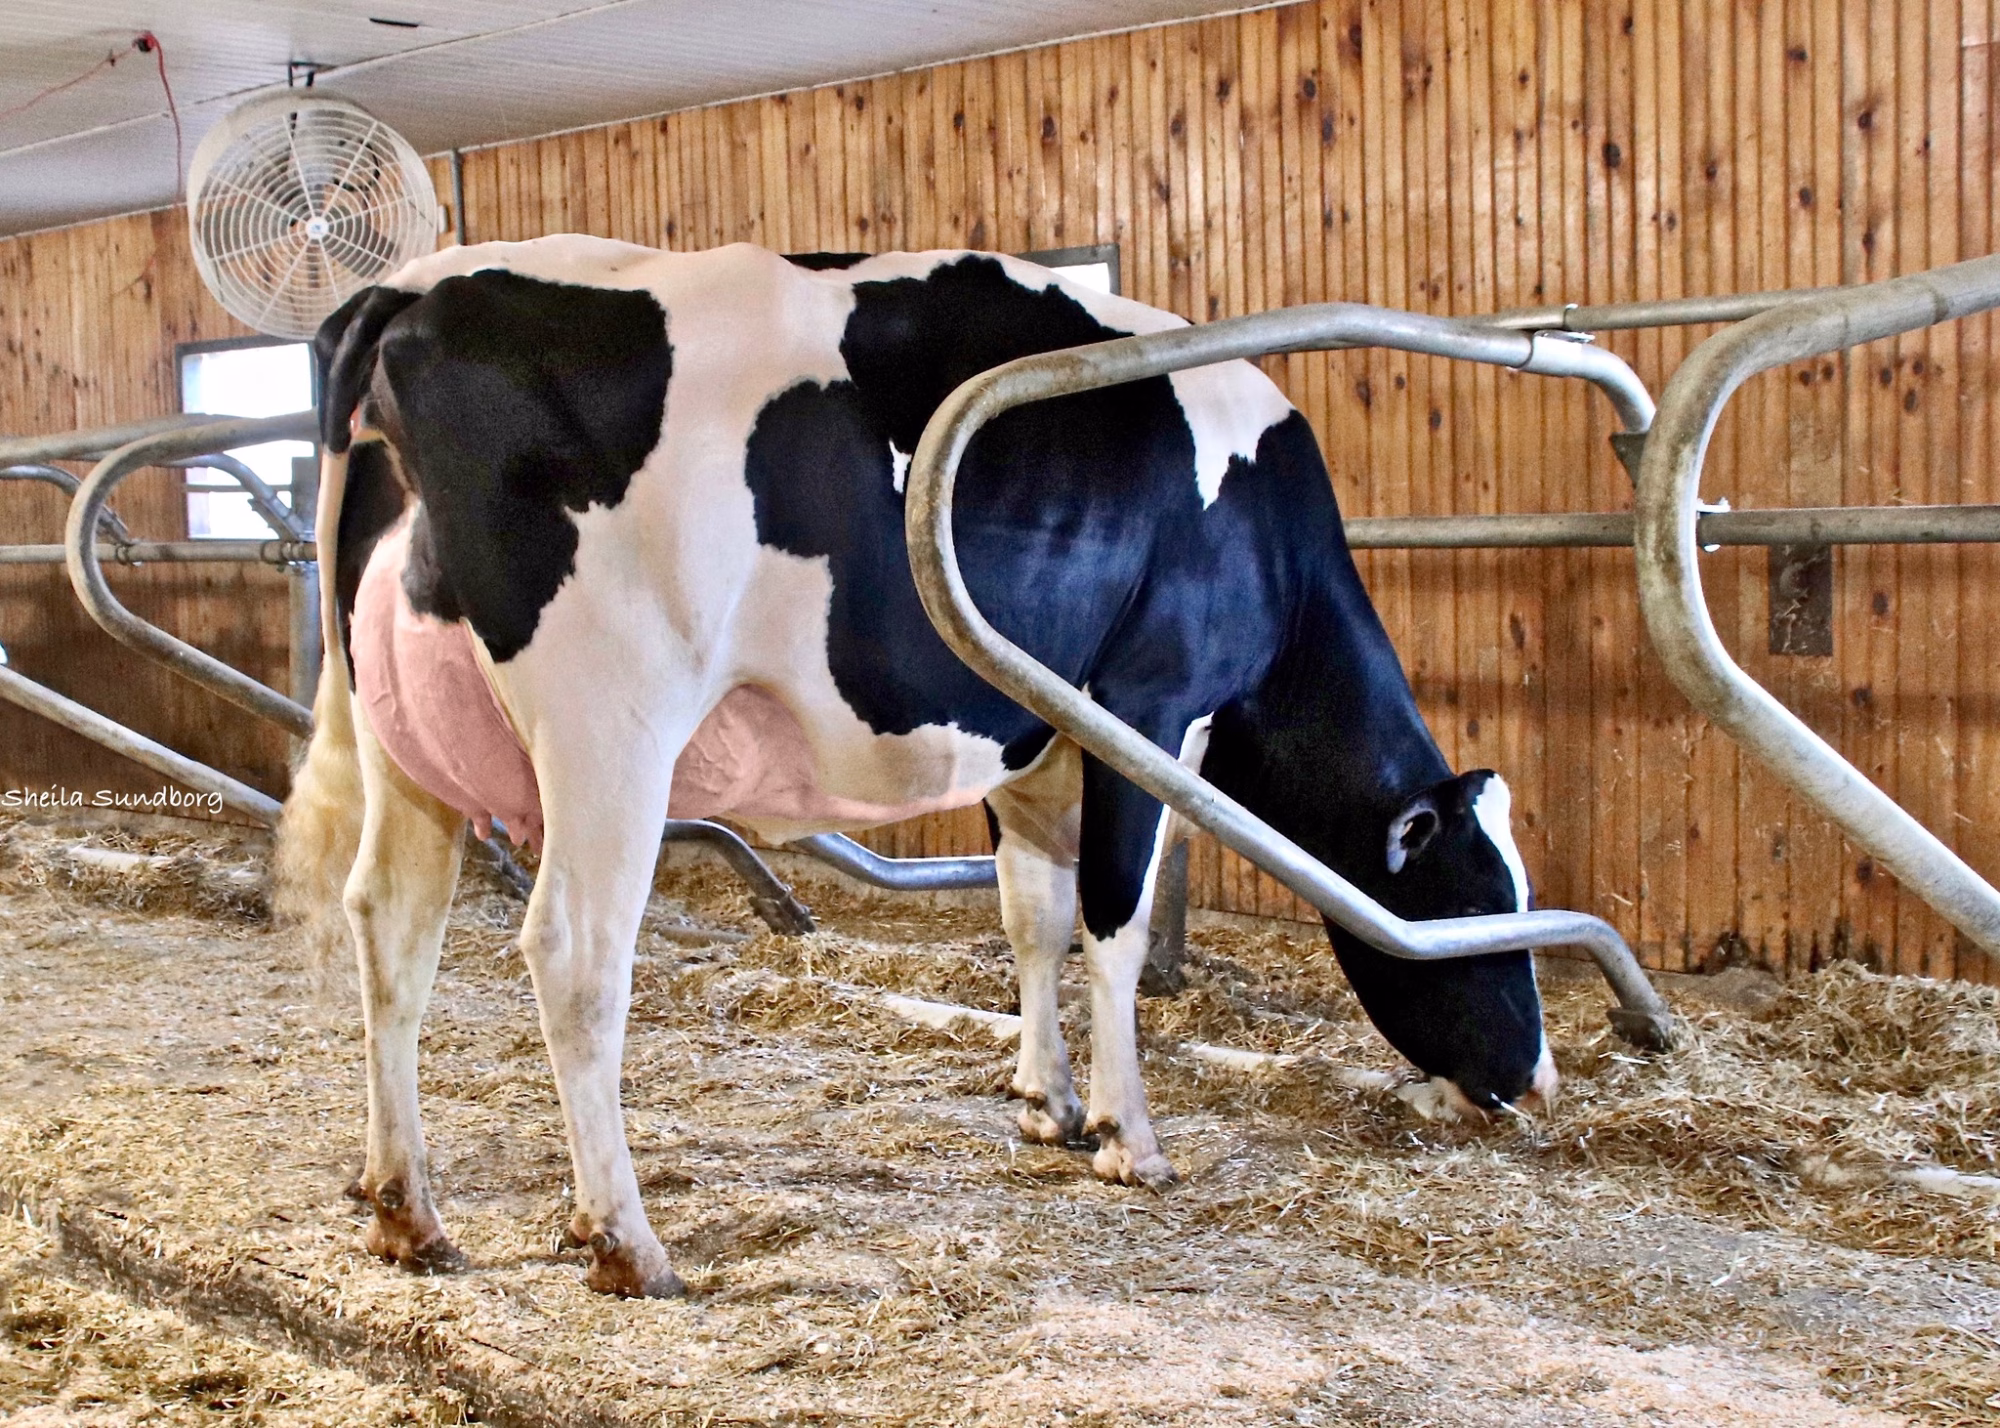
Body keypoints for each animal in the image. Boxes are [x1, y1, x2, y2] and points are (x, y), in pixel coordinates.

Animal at [281, 235, 1556, 1299]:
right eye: (1478, 907)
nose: (1537, 1078)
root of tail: (418, 286)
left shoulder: (1031, 741)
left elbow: (1030, 919)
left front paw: (1044, 1101)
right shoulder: (1148, 705)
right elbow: (1113, 925)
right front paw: (1126, 1138)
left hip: (409, 744)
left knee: (389, 922)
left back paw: (406, 1211)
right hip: (611, 723)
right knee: (573, 955)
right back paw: (626, 1242)